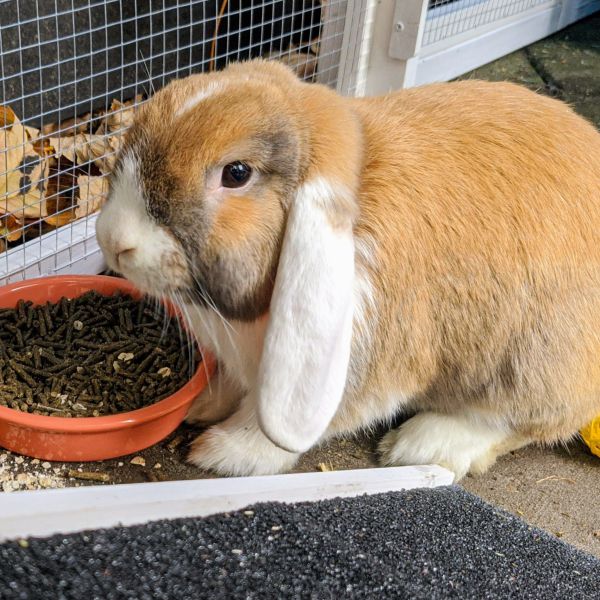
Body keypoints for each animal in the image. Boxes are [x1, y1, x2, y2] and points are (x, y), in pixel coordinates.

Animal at [94, 58, 600, 480]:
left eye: (236, 173)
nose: (113, 239)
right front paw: (200, 404)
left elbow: (286, 421)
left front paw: (226, 452)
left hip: (534, 359)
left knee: (527, 419)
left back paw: (425, 444)